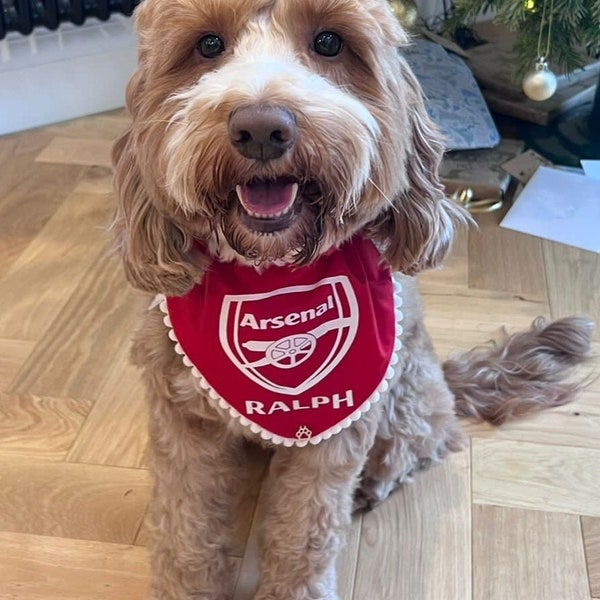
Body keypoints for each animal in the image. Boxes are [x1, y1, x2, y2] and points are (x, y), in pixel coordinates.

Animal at [110, 1, 592, 600]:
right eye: (207, 46)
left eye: (329, 43)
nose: (262, 128)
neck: (272, 277)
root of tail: (445, 377)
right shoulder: (183, 423)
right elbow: (187, 530)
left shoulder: (335, 434)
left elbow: (305, 535)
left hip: (405, 391)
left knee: (423, 441)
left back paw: (374, 483)